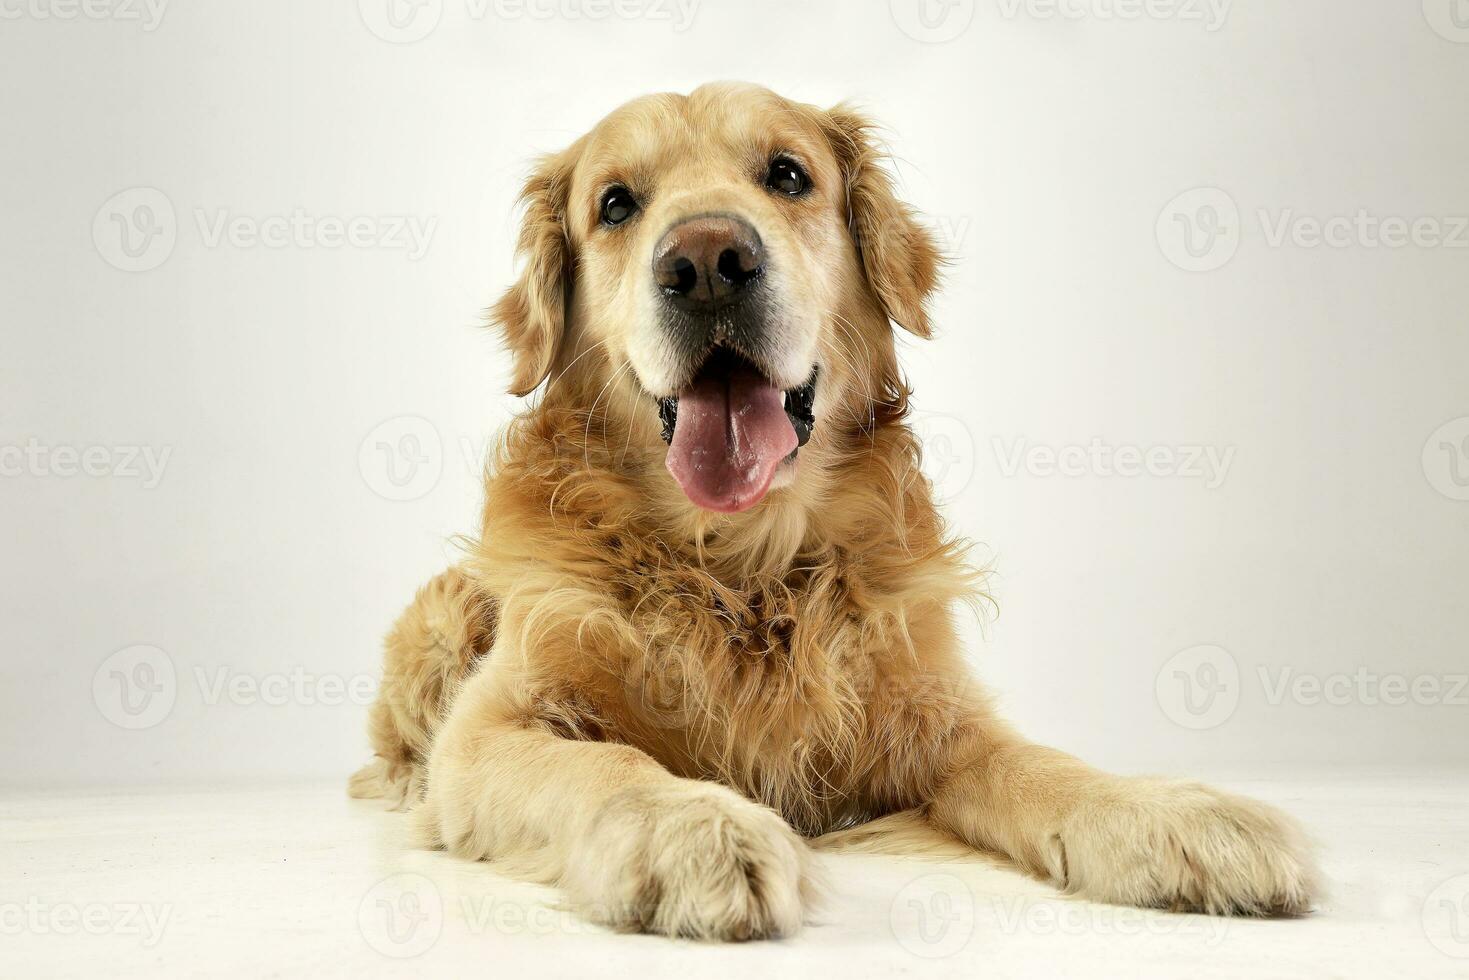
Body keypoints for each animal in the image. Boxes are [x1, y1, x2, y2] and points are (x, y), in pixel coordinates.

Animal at [349, 80, 1316, 940]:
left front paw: (1173, 815)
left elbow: (1040, 765)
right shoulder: (491, 729)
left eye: (787, 175)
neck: (740, 560)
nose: (706, 262)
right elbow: (604, 763)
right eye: (616, 204)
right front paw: (689, 827)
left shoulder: (934, 720)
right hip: (443, 616)